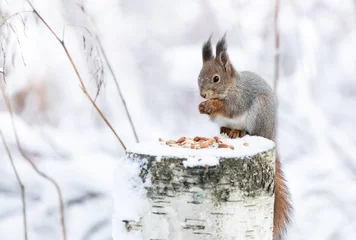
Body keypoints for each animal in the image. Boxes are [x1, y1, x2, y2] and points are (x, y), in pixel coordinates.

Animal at [197, 34, 292, 239]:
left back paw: (239, 132)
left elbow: (229, 108)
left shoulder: (239, 100)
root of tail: (270, 136)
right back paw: (227, 130)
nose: (203, 94)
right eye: (199, 76)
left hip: (258, 114)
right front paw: (202, 107)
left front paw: (211, 105)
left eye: (216, 78)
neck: (231, 87)